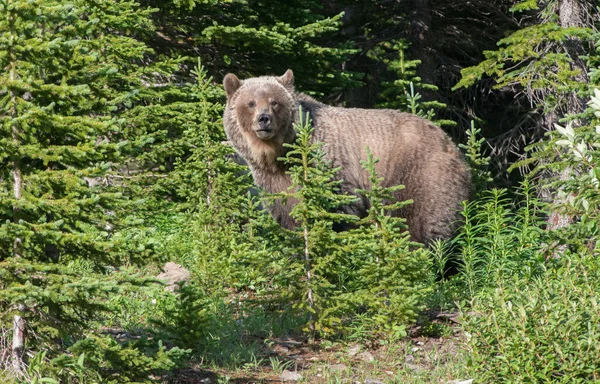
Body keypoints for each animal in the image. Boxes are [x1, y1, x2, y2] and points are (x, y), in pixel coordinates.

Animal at [223, 70, 472, 243]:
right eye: (251, 103)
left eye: (274, 102)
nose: (264, 119)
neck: (281, 154)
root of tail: (452, 145)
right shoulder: (275, 182)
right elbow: (288, 215)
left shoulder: (331, 165)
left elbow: (339, 208)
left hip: (419, 175)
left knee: (419, 222)